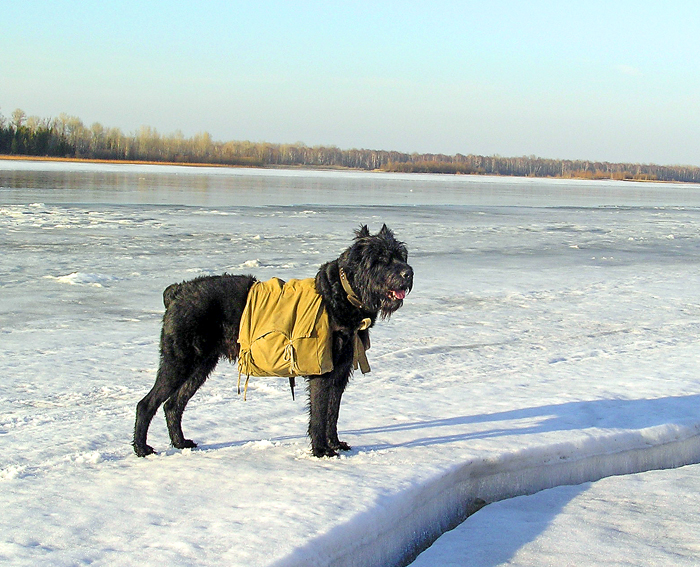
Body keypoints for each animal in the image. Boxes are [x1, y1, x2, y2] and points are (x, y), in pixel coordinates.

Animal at [134, 224, 412, 460]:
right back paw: (141, 448)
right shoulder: (321, 370)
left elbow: (333, 413)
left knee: (173, 404)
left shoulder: (340, 372)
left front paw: (335, 444)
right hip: (179, 360)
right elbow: (319, 415)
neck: (340, 295)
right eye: (379, 259)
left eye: (401, 255)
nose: (408, 273)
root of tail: (176, 292)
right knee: (146, 404)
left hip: (201, 364)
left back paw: (180, 443)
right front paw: (322, 450)